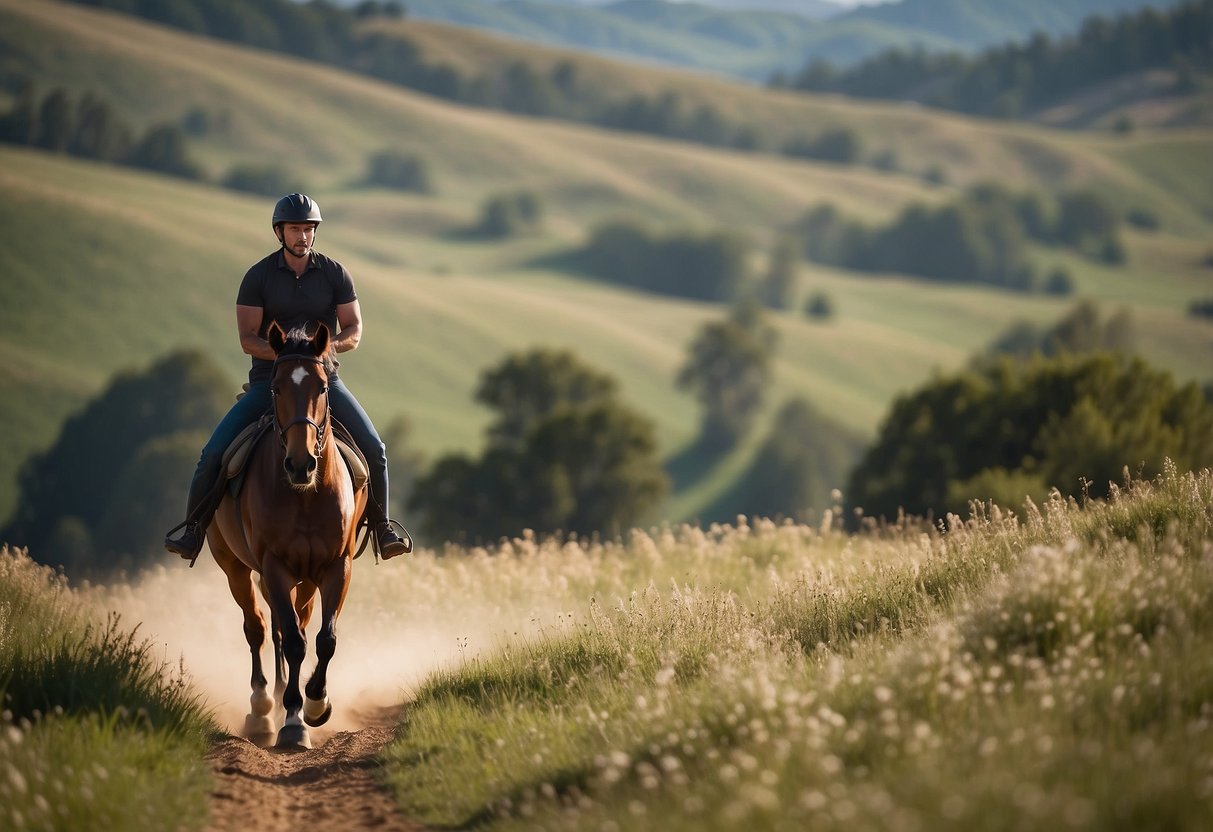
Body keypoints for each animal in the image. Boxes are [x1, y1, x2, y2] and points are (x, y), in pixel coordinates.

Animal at [206, 320, 366, 751]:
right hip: (235, 568)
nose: (300, 464)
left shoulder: (336, 567)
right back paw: (263, 708)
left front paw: (316, 704)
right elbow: (292, 640)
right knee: (259, 627)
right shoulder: (274, 567)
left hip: (305, 579)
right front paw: (293, 720)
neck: (304, 495)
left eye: (323, 388)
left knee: (296, 622)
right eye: (276, 388)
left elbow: (324, 639)